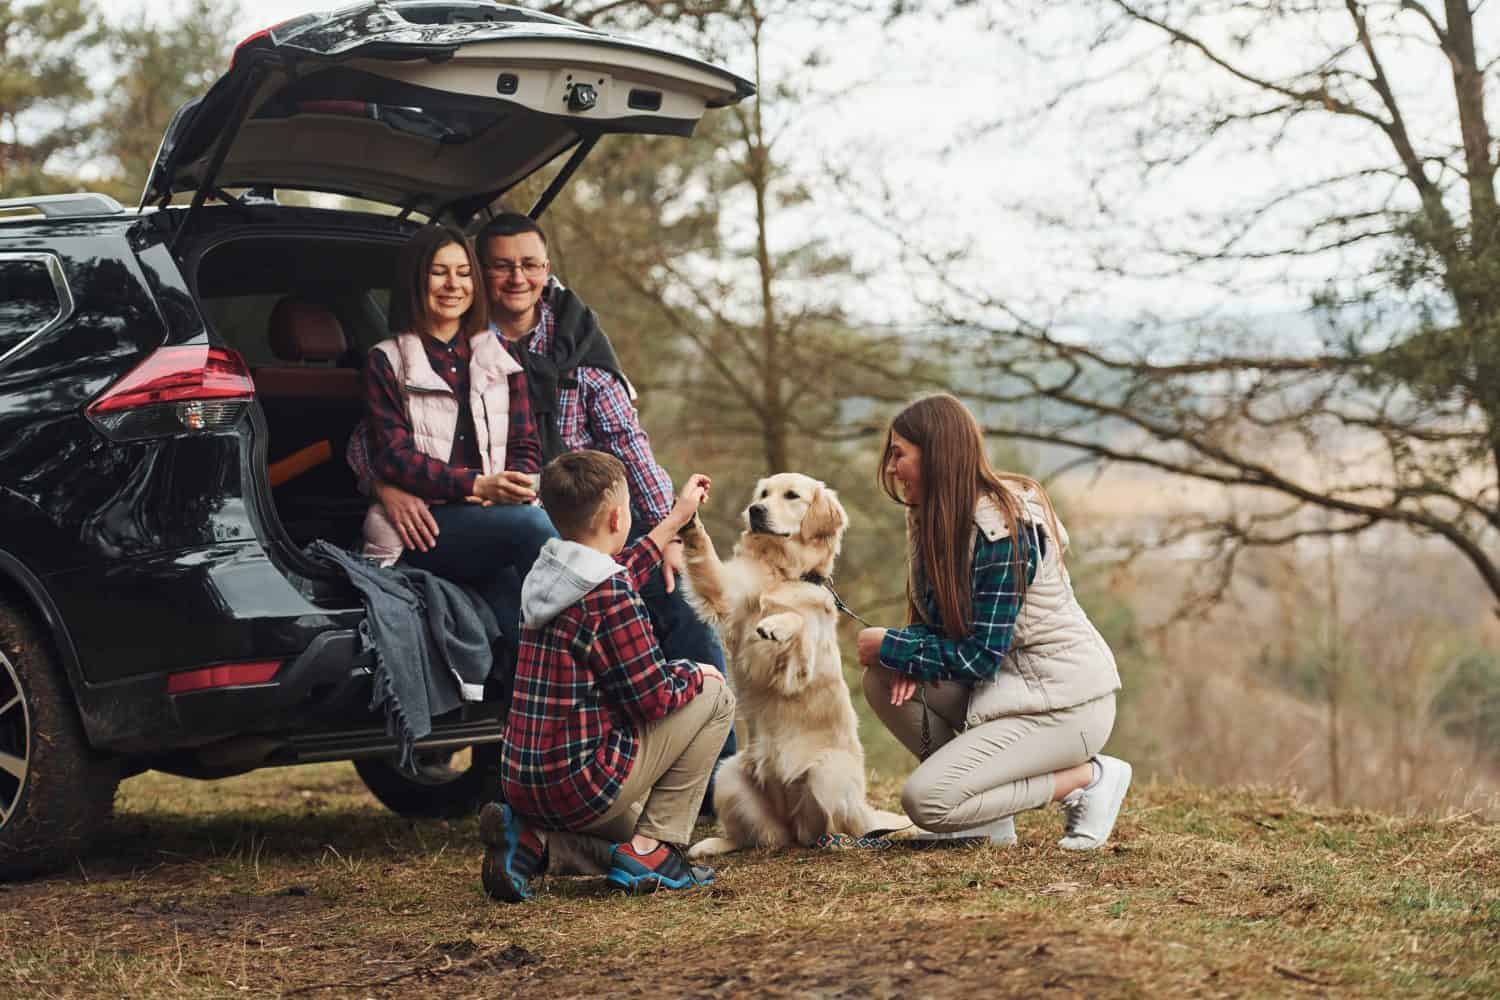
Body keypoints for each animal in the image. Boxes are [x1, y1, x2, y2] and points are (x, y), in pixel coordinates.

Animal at [678, 470, 900, 863]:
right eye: (764, 493)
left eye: (792, 496)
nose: (756, 510)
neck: (782, 572)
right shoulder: (728, 592)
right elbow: (705, 558)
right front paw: (689, 515)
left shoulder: (799, 667)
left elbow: (799, 624)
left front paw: (776, 625)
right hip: (727, 775)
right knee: (767, 837)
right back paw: (713, 844)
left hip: (826, 774)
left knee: (824, 830)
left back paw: (834, 841)